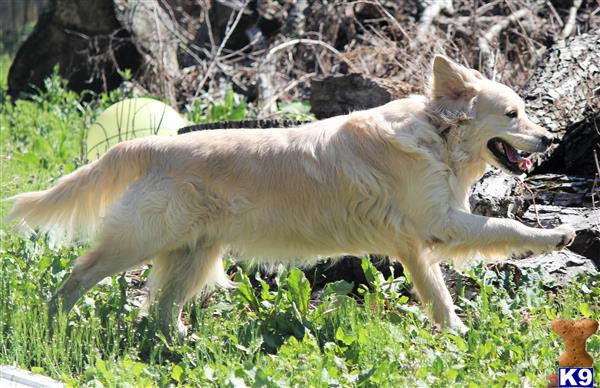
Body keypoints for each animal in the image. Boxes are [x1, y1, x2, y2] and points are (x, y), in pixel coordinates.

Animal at [5, 56, 576, 334]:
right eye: (513, 114)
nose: (550, 139)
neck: (438, 134)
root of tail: (155, 145)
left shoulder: (416, 247)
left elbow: (438, 295)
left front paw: (454, 331)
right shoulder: (440, 224)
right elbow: (504, 226)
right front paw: (557, 236)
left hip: (195, 253)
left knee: (163, 309)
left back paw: (185, 342)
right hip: (140, 241)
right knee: (77, 276)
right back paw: (53, 323)